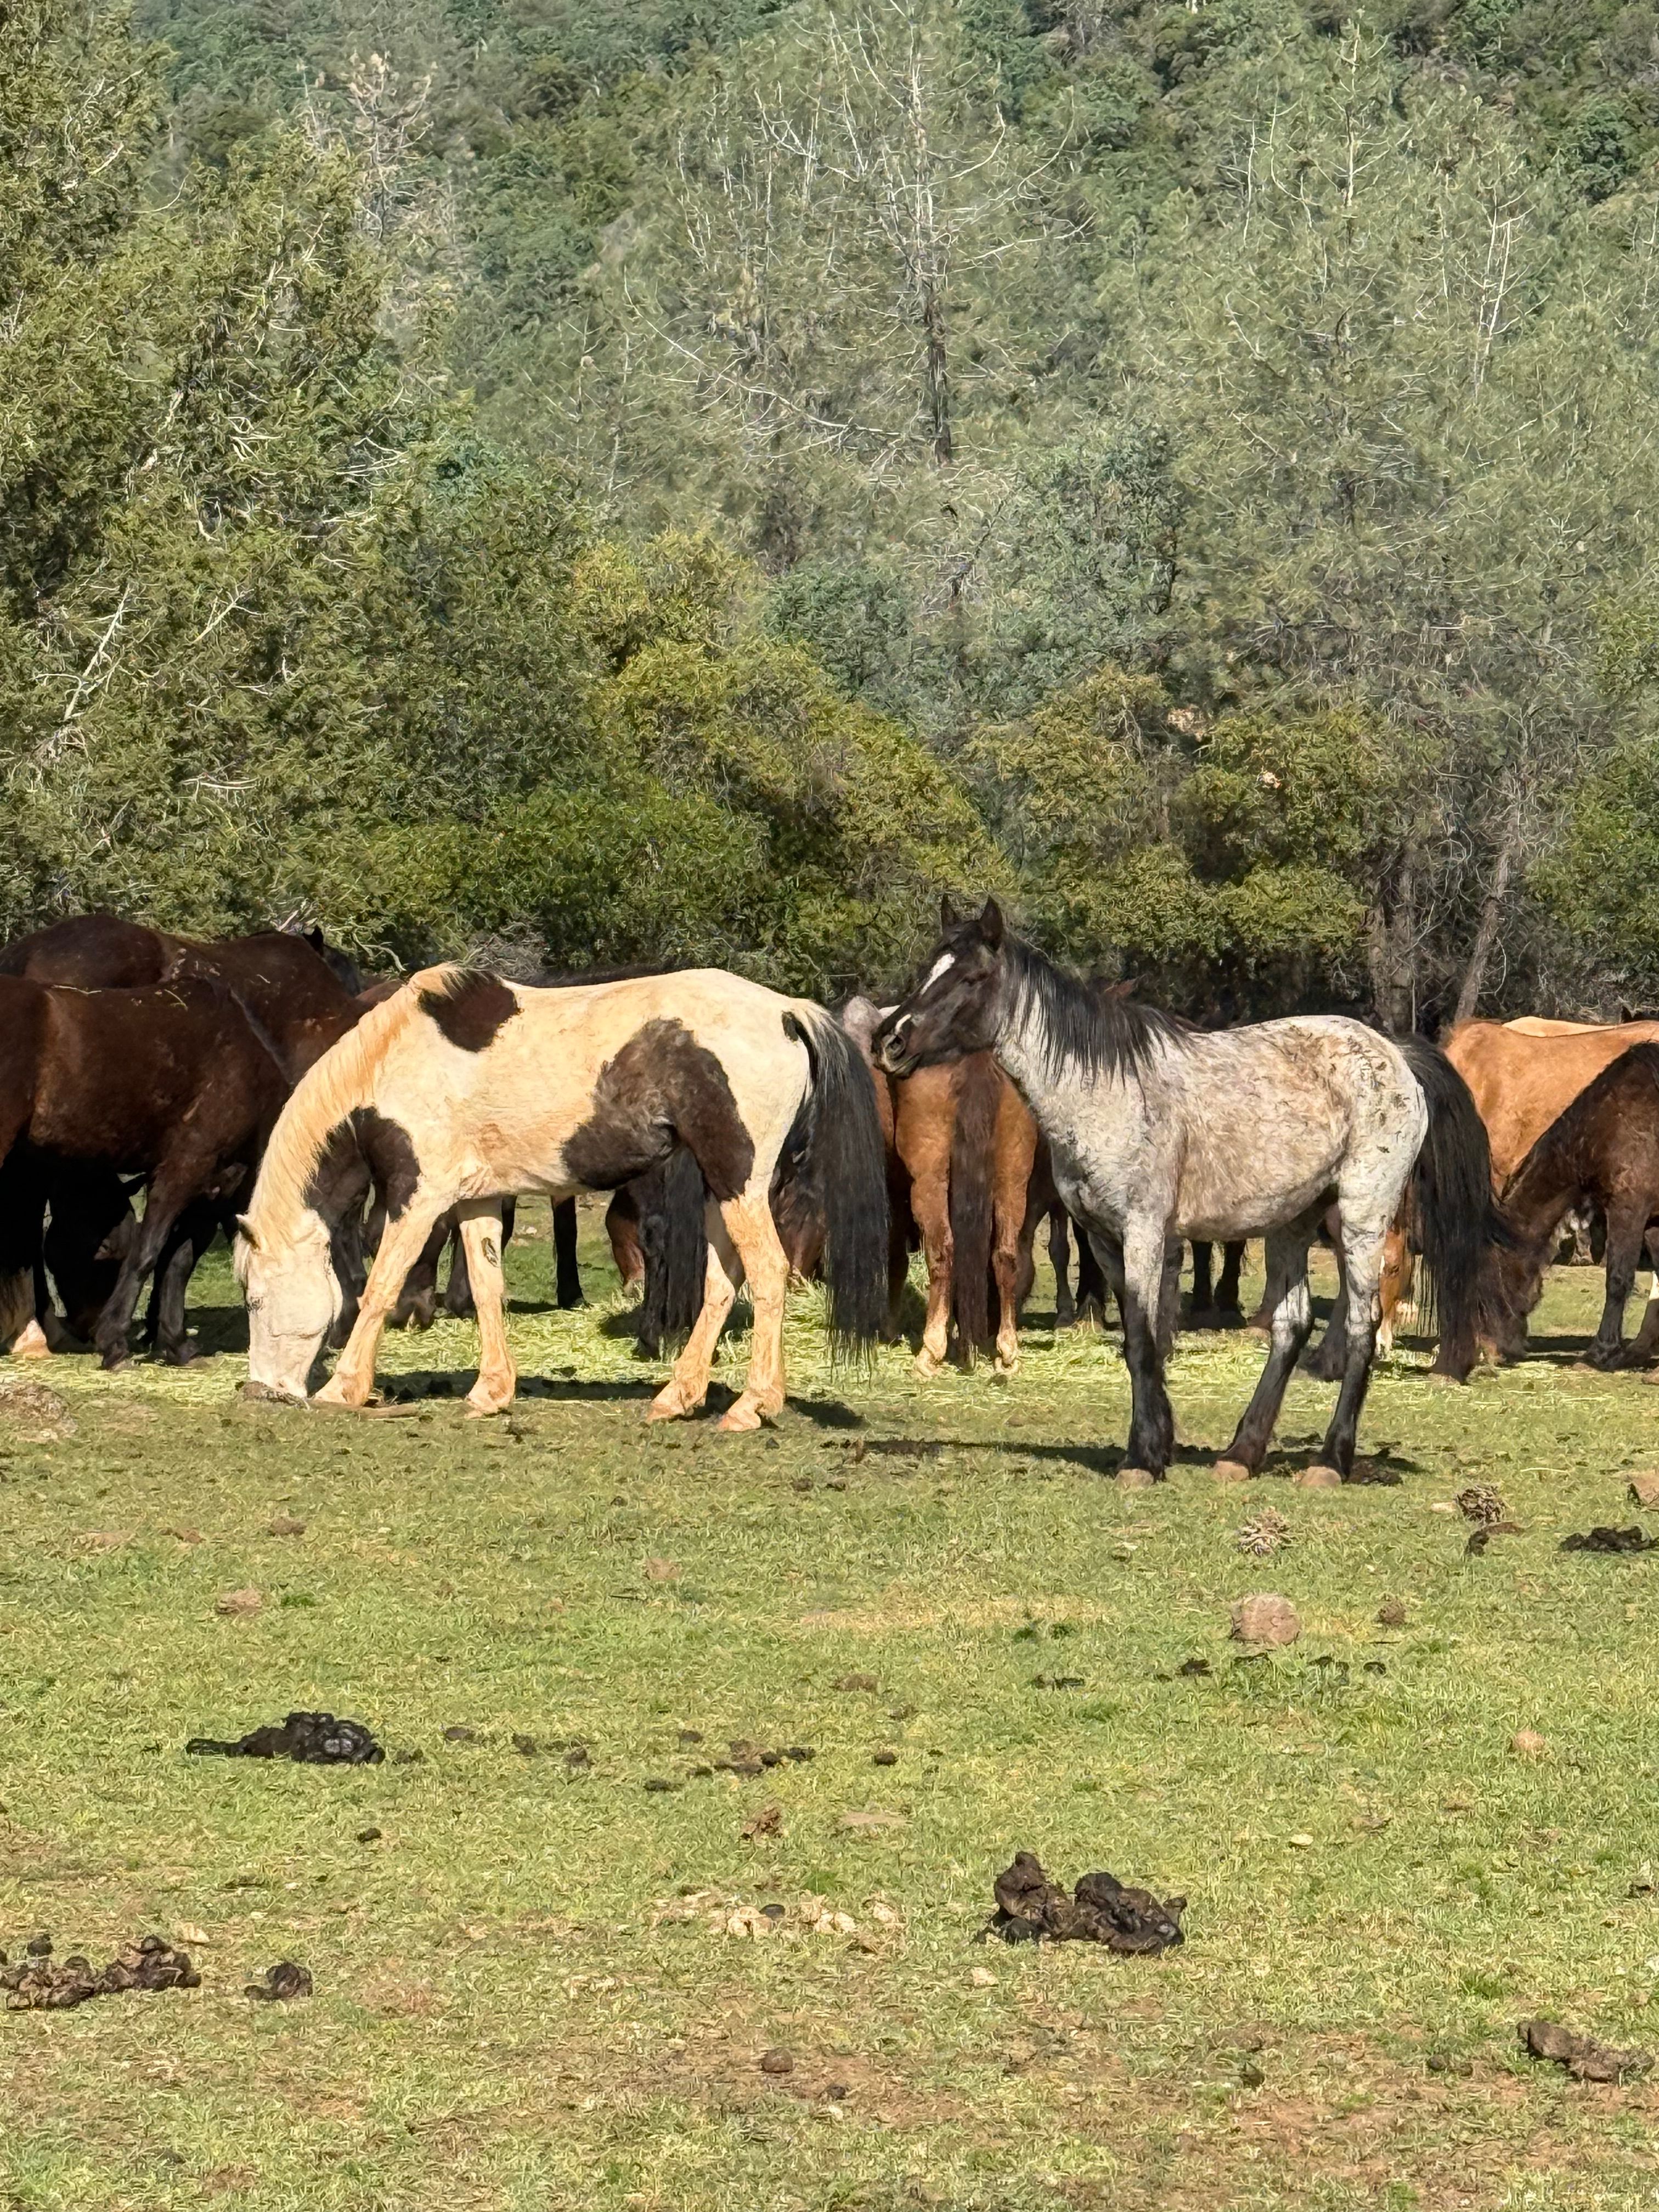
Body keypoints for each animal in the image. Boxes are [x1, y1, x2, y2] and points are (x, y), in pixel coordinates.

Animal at [235, 965, 889, 1424]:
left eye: (256, 1300)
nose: (261, 1391)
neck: (396, 1062)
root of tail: (785, 1011)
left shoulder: (417, 1197)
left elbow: (378, 1288)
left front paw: (343, 1387)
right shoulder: (474, 1200)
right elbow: (487, 1289)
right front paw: (491, 1392)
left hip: (739, 1182)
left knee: (769, 1273)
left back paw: (752, 1405)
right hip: (721, 1190)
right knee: (723, 1283)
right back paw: (678, 1396)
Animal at [874, 899, 1507, 1483]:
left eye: (972, 978)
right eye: (930, 967)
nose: (891, 1042)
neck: (1106, 1090)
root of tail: (1396, 1054)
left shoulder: (1145, 1234)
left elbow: (1143, 1337)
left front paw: (1141, 1460)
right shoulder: (1103, 1240)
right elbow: (1145, 1340)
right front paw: (1159, 1446)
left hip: (1361, 1219)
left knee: (1361, 1325)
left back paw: (1330, 1461)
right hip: (1293, 1223)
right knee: (1292, 1325)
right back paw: (1241, 1454)